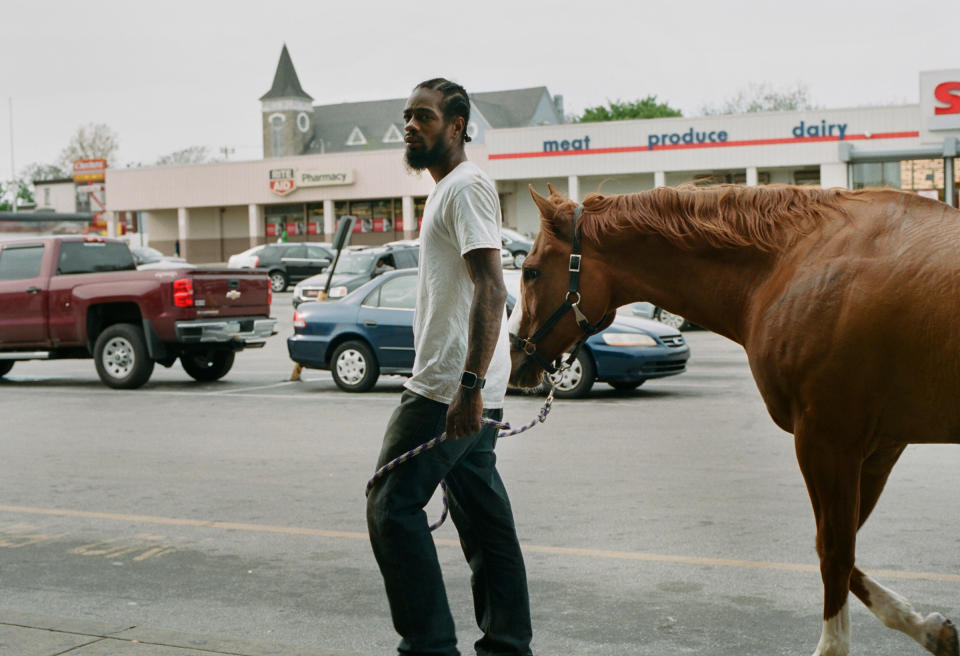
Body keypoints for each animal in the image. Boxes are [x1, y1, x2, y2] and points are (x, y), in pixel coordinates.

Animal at [512, 183, 960, 656]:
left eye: (531, 271)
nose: (514, 351)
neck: (793, 261)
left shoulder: (827, 440)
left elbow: (834, 553)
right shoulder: (876, 447)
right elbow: (836, 549)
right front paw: (927, 628)